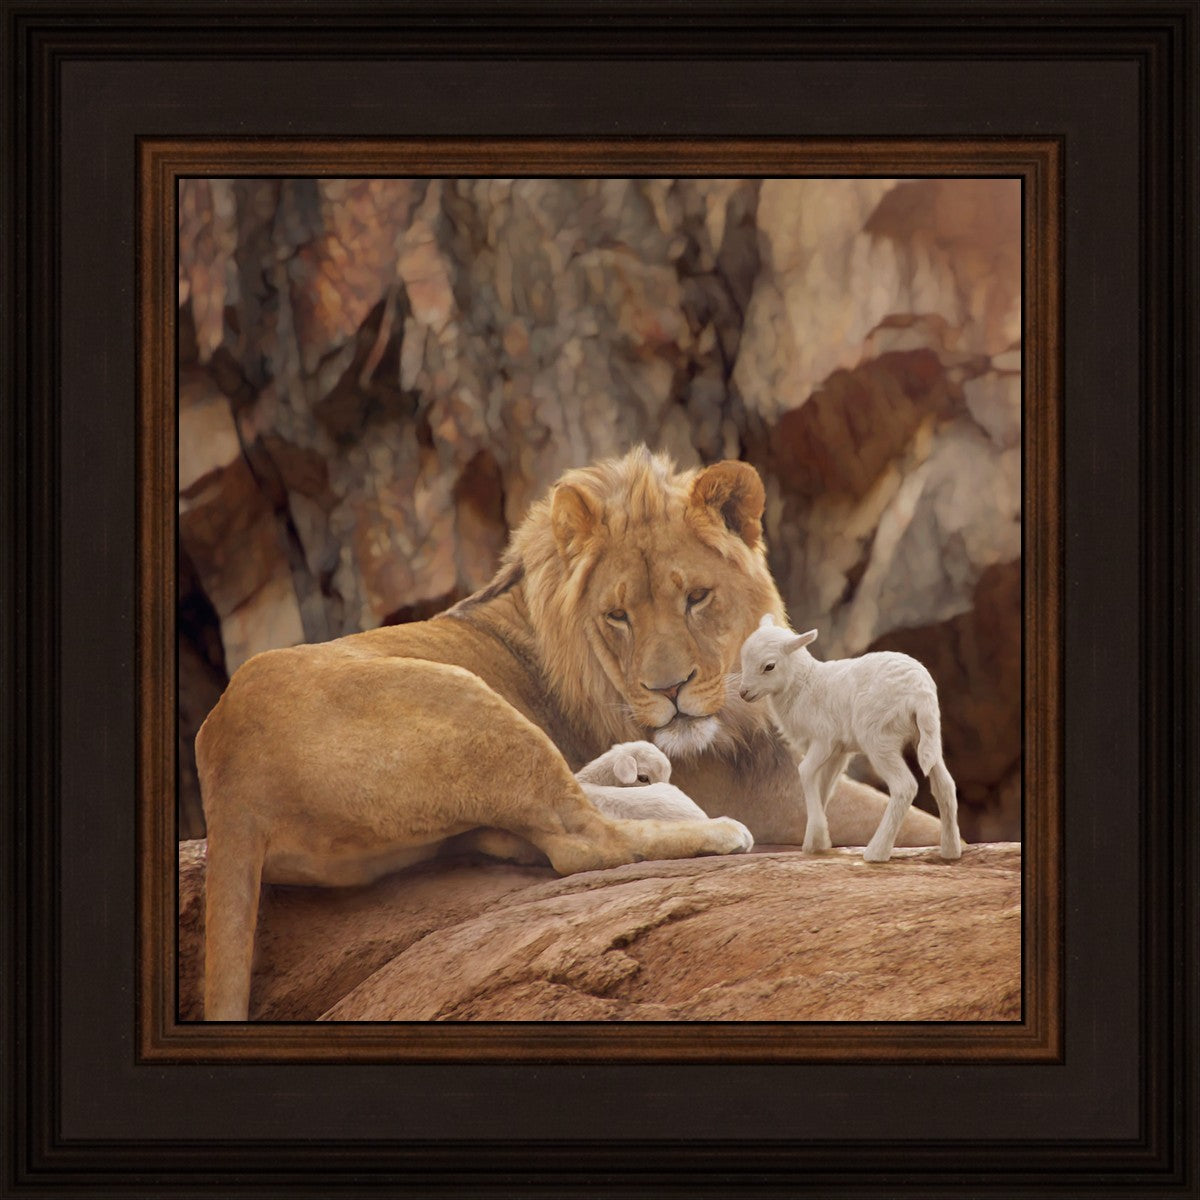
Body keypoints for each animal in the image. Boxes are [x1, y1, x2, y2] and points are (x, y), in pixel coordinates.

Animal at [738, 614, 963, 863]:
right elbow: (824, 786)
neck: (804, 685)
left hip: (879, 737)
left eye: (769, 666)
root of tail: (920, 693)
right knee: (945, 785)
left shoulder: (823, 739)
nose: (743, 693)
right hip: (927, 735)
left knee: (904, 786)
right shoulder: (838, 751)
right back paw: (950, 850)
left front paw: (817, 837)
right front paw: (816, 841)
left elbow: (805, 772)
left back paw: (876, 852)